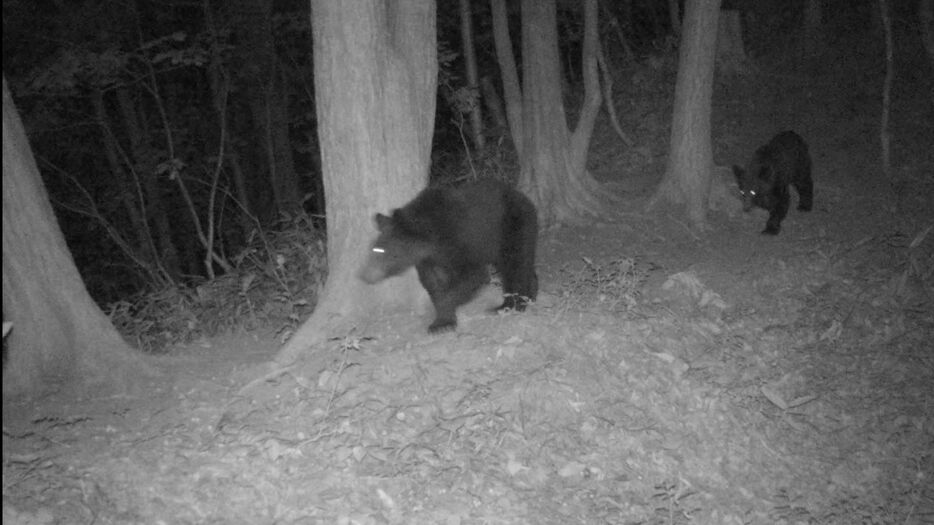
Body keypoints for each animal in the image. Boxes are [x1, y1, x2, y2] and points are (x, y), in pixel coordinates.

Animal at [360, 176, 540, 332]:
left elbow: (472, 276)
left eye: (383, 250)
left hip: (514, 228)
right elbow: (433, 283)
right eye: (374, 248)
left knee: (516, 264)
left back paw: (512, 305)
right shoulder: (429, 259)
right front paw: (442, 322)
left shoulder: (462, 241)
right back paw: (528, 297)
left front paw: (444, 320)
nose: (366, 275)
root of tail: (526, 199)